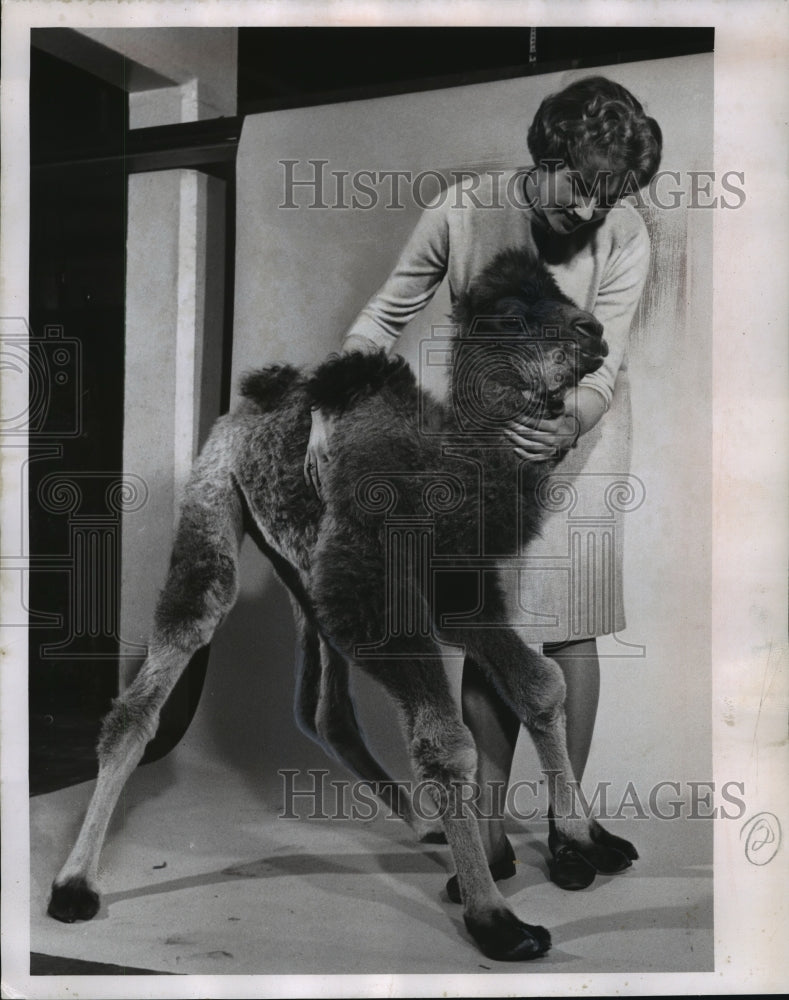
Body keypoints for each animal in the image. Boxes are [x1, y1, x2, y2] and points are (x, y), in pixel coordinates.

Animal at [46, 244, 636, 960]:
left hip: (303, 579)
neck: (443, 469)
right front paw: (496, 919)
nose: (593, 329)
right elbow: (448, 740)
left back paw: (429, 827)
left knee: (324, 710)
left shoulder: (457, 589)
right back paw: (74, 883)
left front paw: (578, 839)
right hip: (215, 513)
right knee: (151, 686)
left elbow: (542, 683)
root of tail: (246, 404)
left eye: (562, 294)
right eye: (512, 314)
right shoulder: (368, 596)